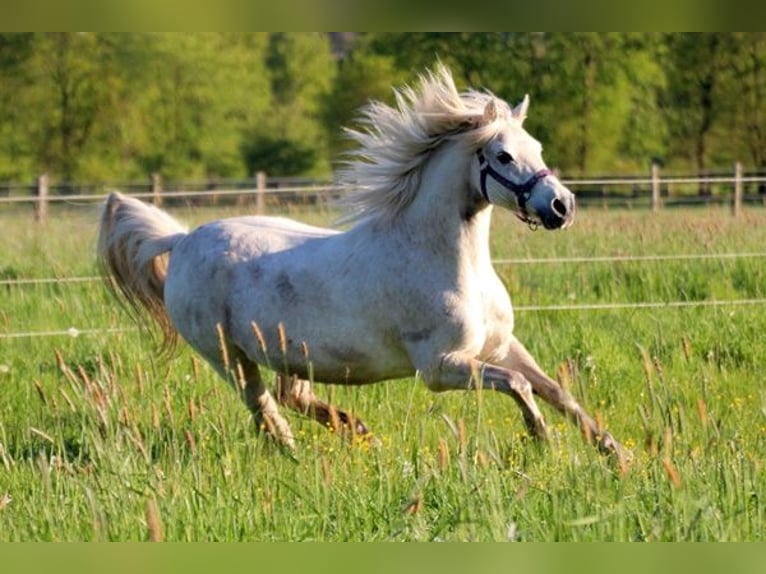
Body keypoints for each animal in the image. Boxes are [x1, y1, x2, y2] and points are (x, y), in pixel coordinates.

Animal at [97, 66, 624, 464]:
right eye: (504, 155)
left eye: (537, 147)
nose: (561, 207)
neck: (448, 263)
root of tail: (182, 239)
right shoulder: (440, 368)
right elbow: (521, 387)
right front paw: (542, 440)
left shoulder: (499, 347)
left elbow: (555, 390)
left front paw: (614, 453)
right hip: (228, 356)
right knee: (265, 408)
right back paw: (301, 452)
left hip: (290, 352)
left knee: (291, 397)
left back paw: (357, 430)